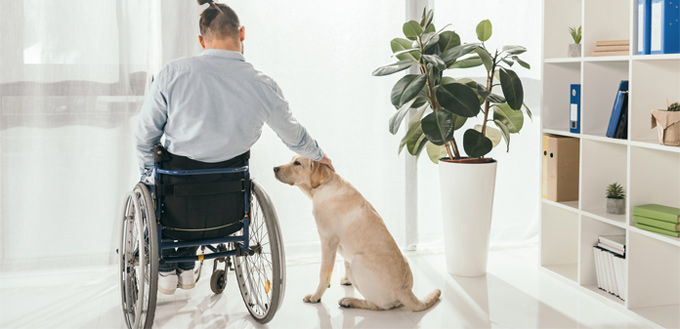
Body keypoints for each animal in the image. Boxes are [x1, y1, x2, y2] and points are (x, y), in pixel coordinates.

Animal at [272, 156, 440, 310]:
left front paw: (316, 296)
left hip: (358, 263)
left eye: (297, 163)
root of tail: (405, 291)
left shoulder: (328, 241)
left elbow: (323, 274)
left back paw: (350, 301)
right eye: (291, 159)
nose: (274, 168)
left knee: (378, 306)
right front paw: (347, 281)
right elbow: (345, 262)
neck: (322, 187)